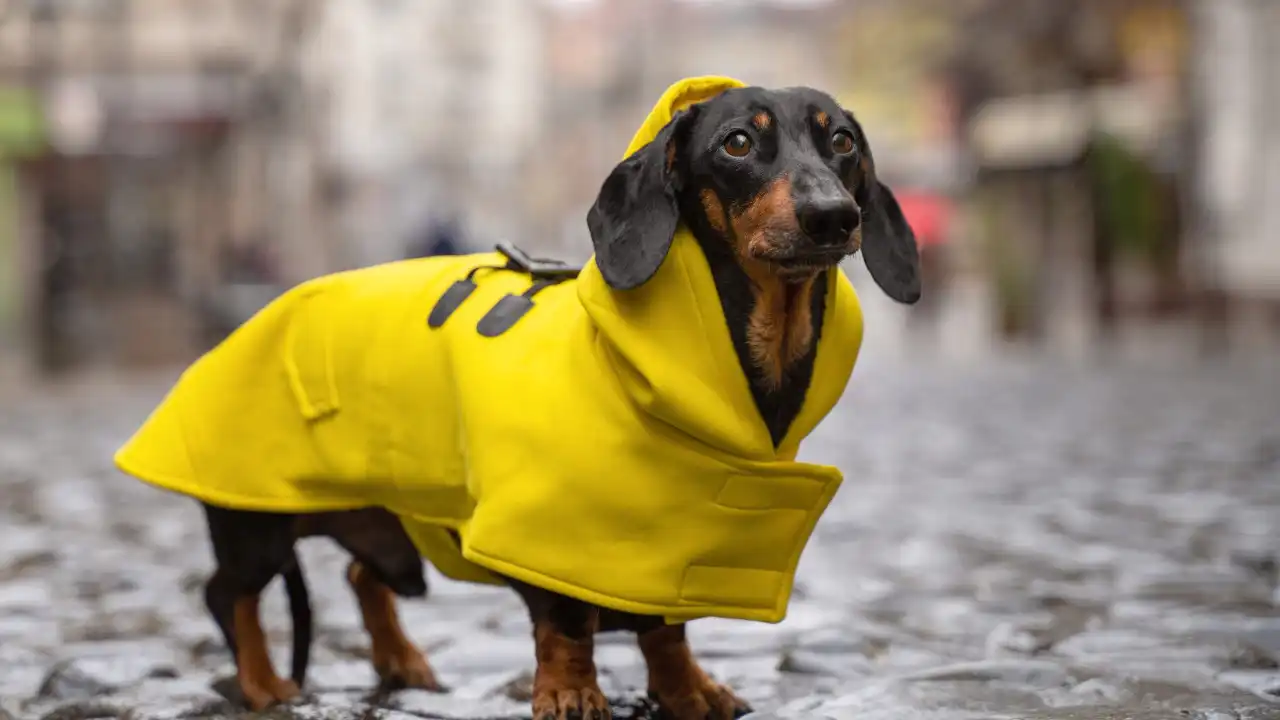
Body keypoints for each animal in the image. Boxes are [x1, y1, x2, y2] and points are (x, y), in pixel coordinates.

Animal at [115, 75, 921, 712]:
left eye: (842, 141)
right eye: (737, 143)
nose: (832, 216)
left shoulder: (666, 549)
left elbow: (666, 631)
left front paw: (687, 690)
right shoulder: (550, 532)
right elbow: (564, 624)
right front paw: (571, 692)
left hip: (387, 519)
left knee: (357, 571)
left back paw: (400, 663)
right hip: (255, 522)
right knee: (229, 596)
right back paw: (263, 686)